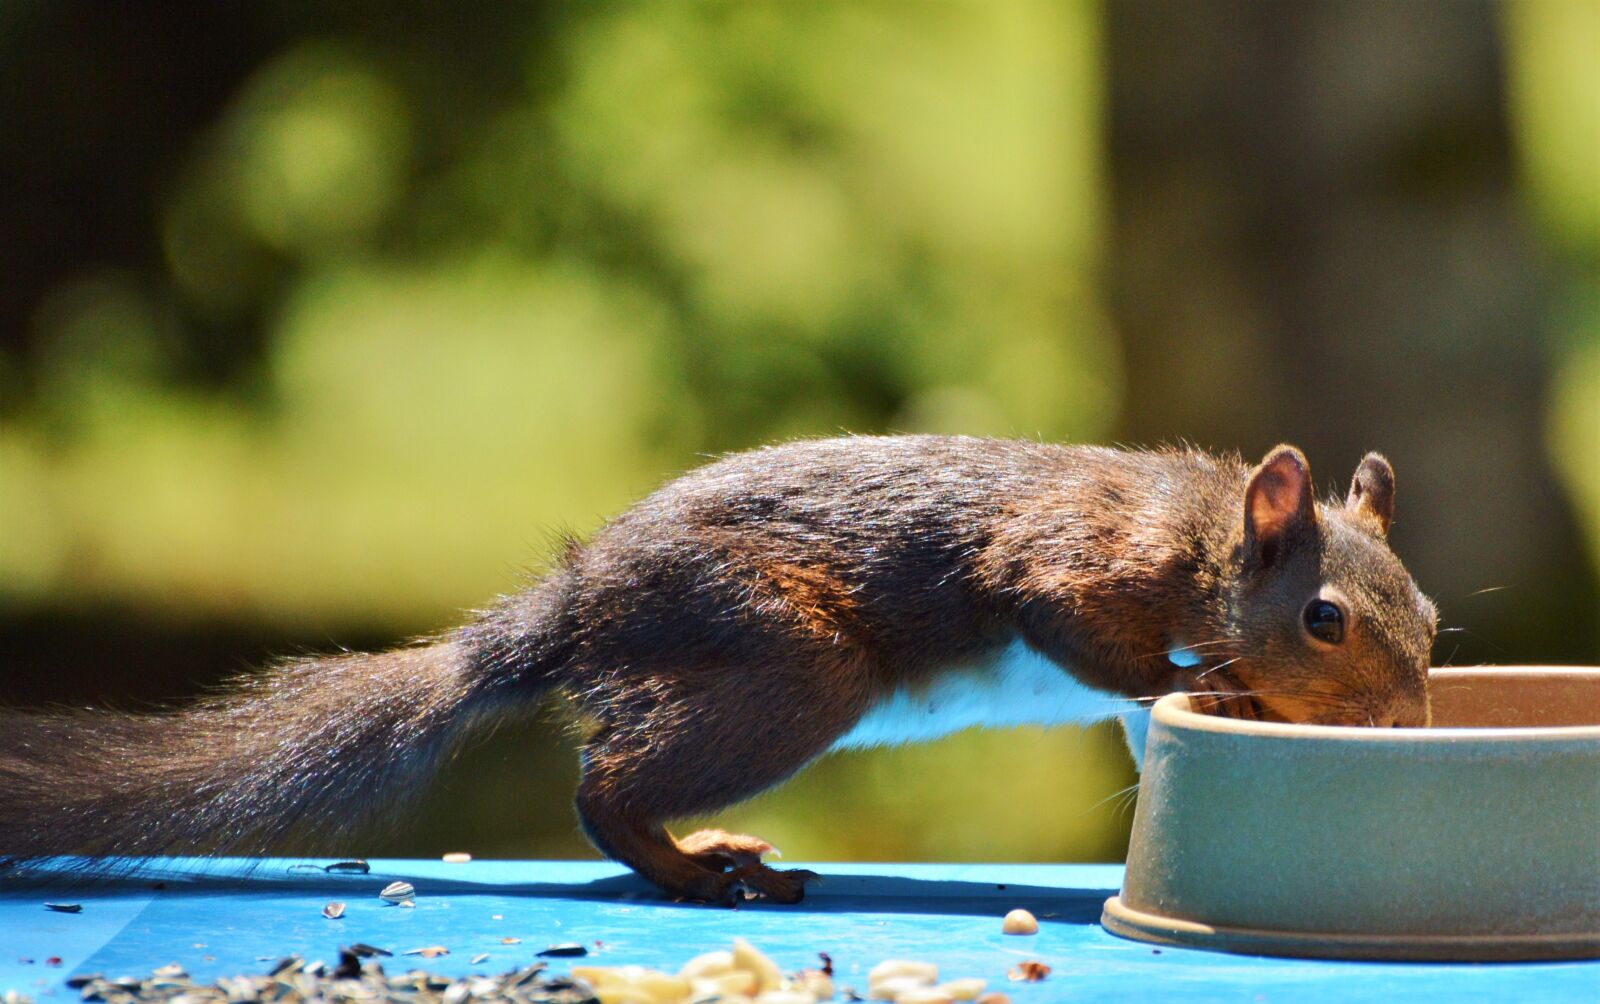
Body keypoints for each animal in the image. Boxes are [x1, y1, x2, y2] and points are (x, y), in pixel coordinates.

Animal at [0, 436, 1437, 905]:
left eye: (1425, 611)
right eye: (1321, 619)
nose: (1404, 723)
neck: (1194, 536)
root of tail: (575, 606)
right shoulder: (1068, 564)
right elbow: (1090, 638)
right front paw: (1213, 687)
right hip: (785, 672)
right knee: (602, 783)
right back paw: (696, 868)